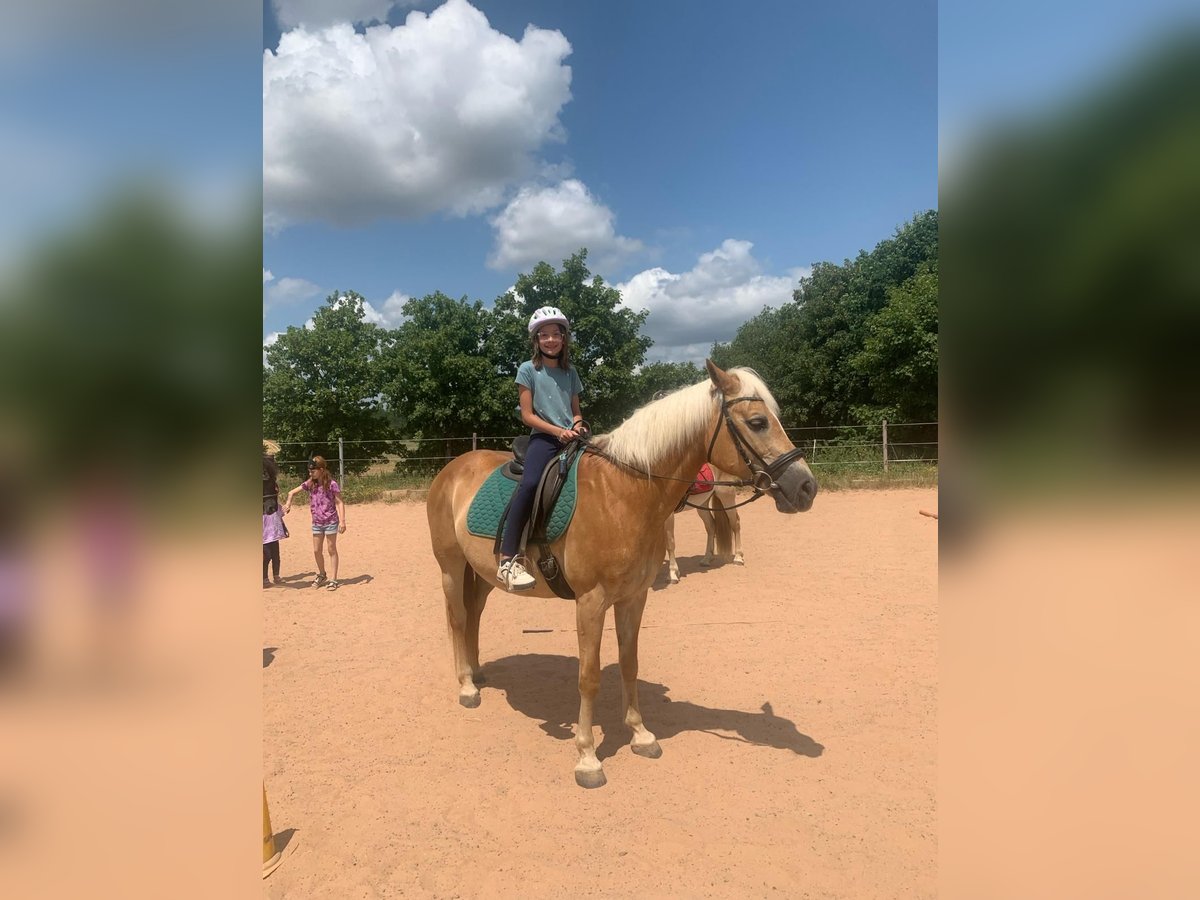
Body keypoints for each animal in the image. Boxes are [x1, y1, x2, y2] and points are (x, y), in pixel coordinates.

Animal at [424, 362, 816, 787]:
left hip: (481, 573)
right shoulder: (591, 602)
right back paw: (466, 687)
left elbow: (630, 664)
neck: (624, 493)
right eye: (758, 422)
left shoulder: (633, 596)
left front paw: (641, 736)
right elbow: (589, 676)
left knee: (474, 615)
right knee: (458, 618)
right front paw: (587, 758)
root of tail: (453, 467)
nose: (806, 486)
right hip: (451, 565)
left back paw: (477, 673)